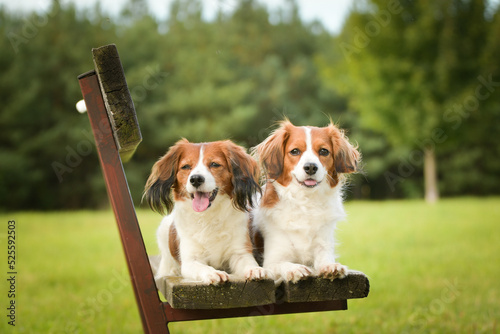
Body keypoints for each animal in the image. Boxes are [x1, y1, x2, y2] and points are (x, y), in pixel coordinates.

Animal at [143, 138, 272, 284]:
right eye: (186, 167)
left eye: (215, 164)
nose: (196, 179)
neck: (208, 216)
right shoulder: (190, 261)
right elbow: (202, 267)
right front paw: (213, 273)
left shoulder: (239, 252)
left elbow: (248, 262)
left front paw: (255, 269)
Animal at [254, 119, 360, 282]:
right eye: (295, 151)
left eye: (324, 151)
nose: (310, 167)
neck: (305, 202)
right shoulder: (271, 261)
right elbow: (283, 264)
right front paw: (295, 269)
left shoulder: (323, 244)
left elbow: (325, 259)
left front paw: (331, 267)